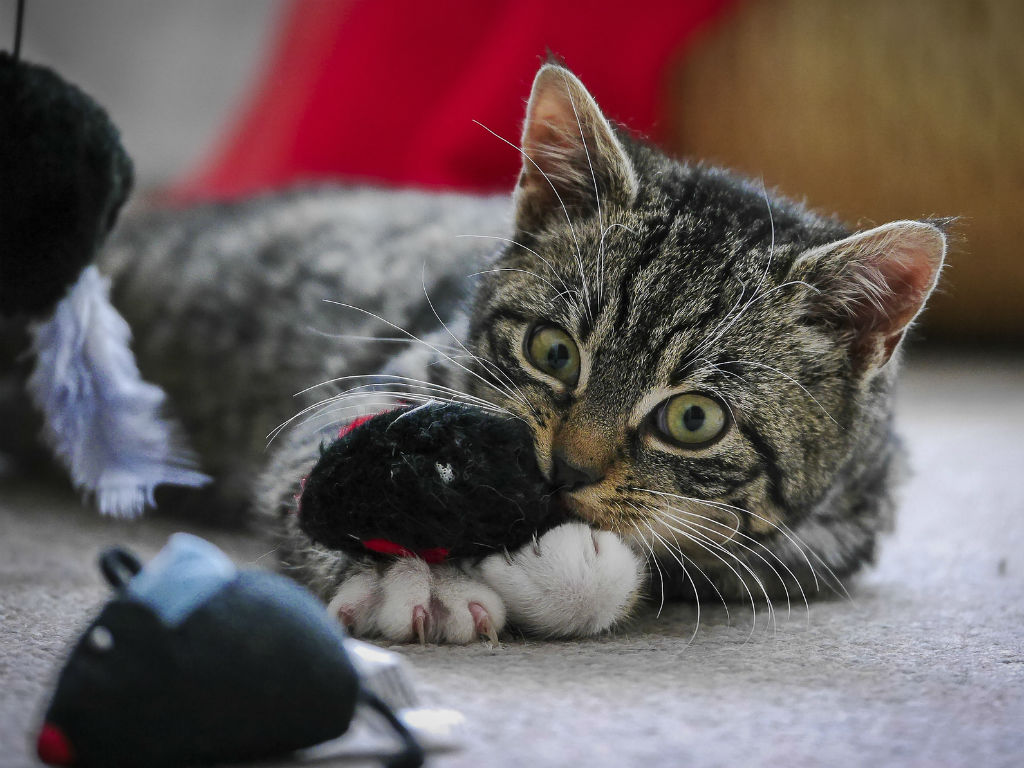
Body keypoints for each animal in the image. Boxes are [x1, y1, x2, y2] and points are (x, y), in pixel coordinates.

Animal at [75, 64, 946, 643]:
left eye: (694, 419)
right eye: (552, 351)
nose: (566, 471)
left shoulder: (818, 544)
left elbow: (693, 562)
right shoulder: (383, 383)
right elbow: (333, 467)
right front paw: (403, 571)